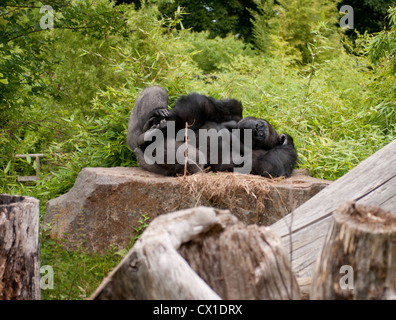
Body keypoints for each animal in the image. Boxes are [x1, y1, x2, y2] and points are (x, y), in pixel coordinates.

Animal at [127, 86, 296, 179]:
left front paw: (287, 141)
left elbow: (269, 166)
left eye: (260, 136)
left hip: (147, 160)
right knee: (156, 91)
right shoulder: (235, 110)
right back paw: (150, 124)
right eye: (260, 126)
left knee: (194, 158)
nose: (257, 129)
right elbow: (203, 105)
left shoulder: (258, 158)